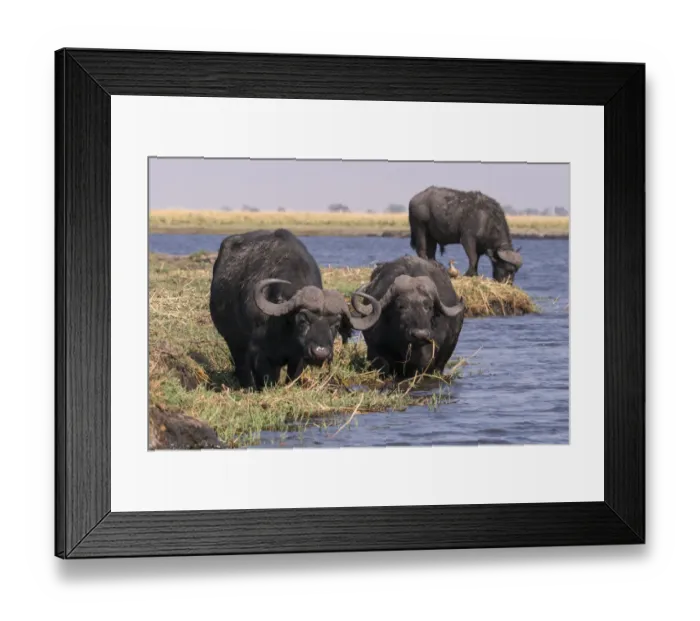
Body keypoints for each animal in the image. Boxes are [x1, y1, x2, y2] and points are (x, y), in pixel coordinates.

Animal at [209, 229, 382, 390]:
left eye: (336, 324)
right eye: (303, 320)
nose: (320, 353)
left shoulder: (299, 357)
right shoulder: (259, 354)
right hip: (233, 341)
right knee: (241, 366)